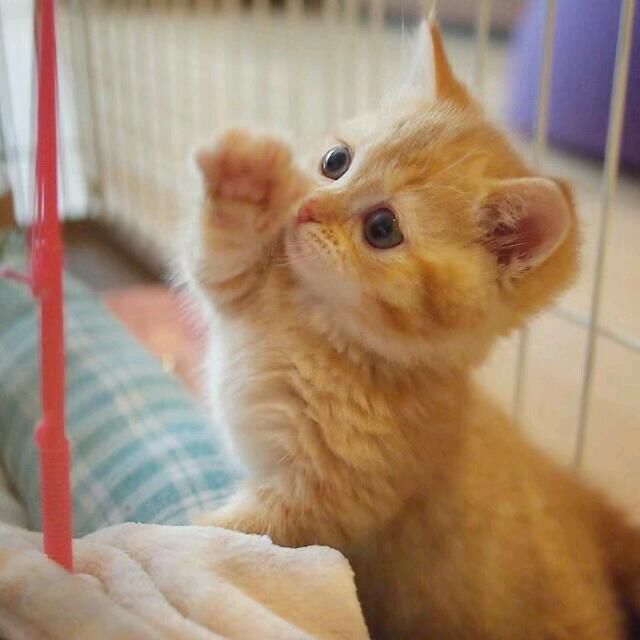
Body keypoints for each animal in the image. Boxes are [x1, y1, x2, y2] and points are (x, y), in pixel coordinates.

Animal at [180, 19, 640, 640]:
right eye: (335, 160)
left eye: (382, 228)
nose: (307, 208)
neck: (316, 329)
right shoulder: (247, 291)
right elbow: (219, 262)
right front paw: (246, 185)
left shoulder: (322, 502)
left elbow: (232, 540)